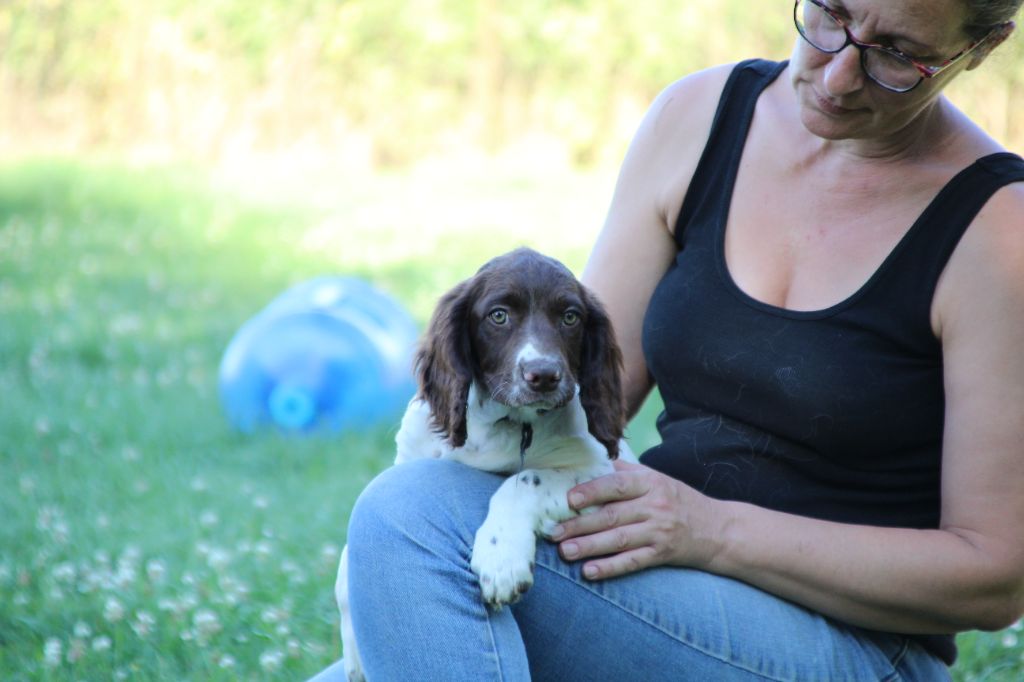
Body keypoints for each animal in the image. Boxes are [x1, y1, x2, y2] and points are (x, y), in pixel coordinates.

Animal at [339, 249, 634, 679]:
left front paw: (500, 560)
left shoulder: (599, 476)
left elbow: (523, 480)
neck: (509, 423)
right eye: (498, 315)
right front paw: (355, 655)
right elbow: (347, 558)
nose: (544, 375)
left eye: (570, 317)